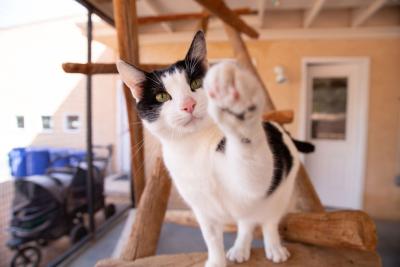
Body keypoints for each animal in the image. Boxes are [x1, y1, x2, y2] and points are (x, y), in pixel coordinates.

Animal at [117, 31, 314, 267]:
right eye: (162, 96)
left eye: (196, 83)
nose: (189, 105)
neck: (193, 147)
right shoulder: (201, 207)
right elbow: (211, 237)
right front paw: (216, 261)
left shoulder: (254, 180)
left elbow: (254, 175)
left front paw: (237, 111)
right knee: (247, 220)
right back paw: (240, 248)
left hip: (281, 190)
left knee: (268, 219)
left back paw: (274, 246)